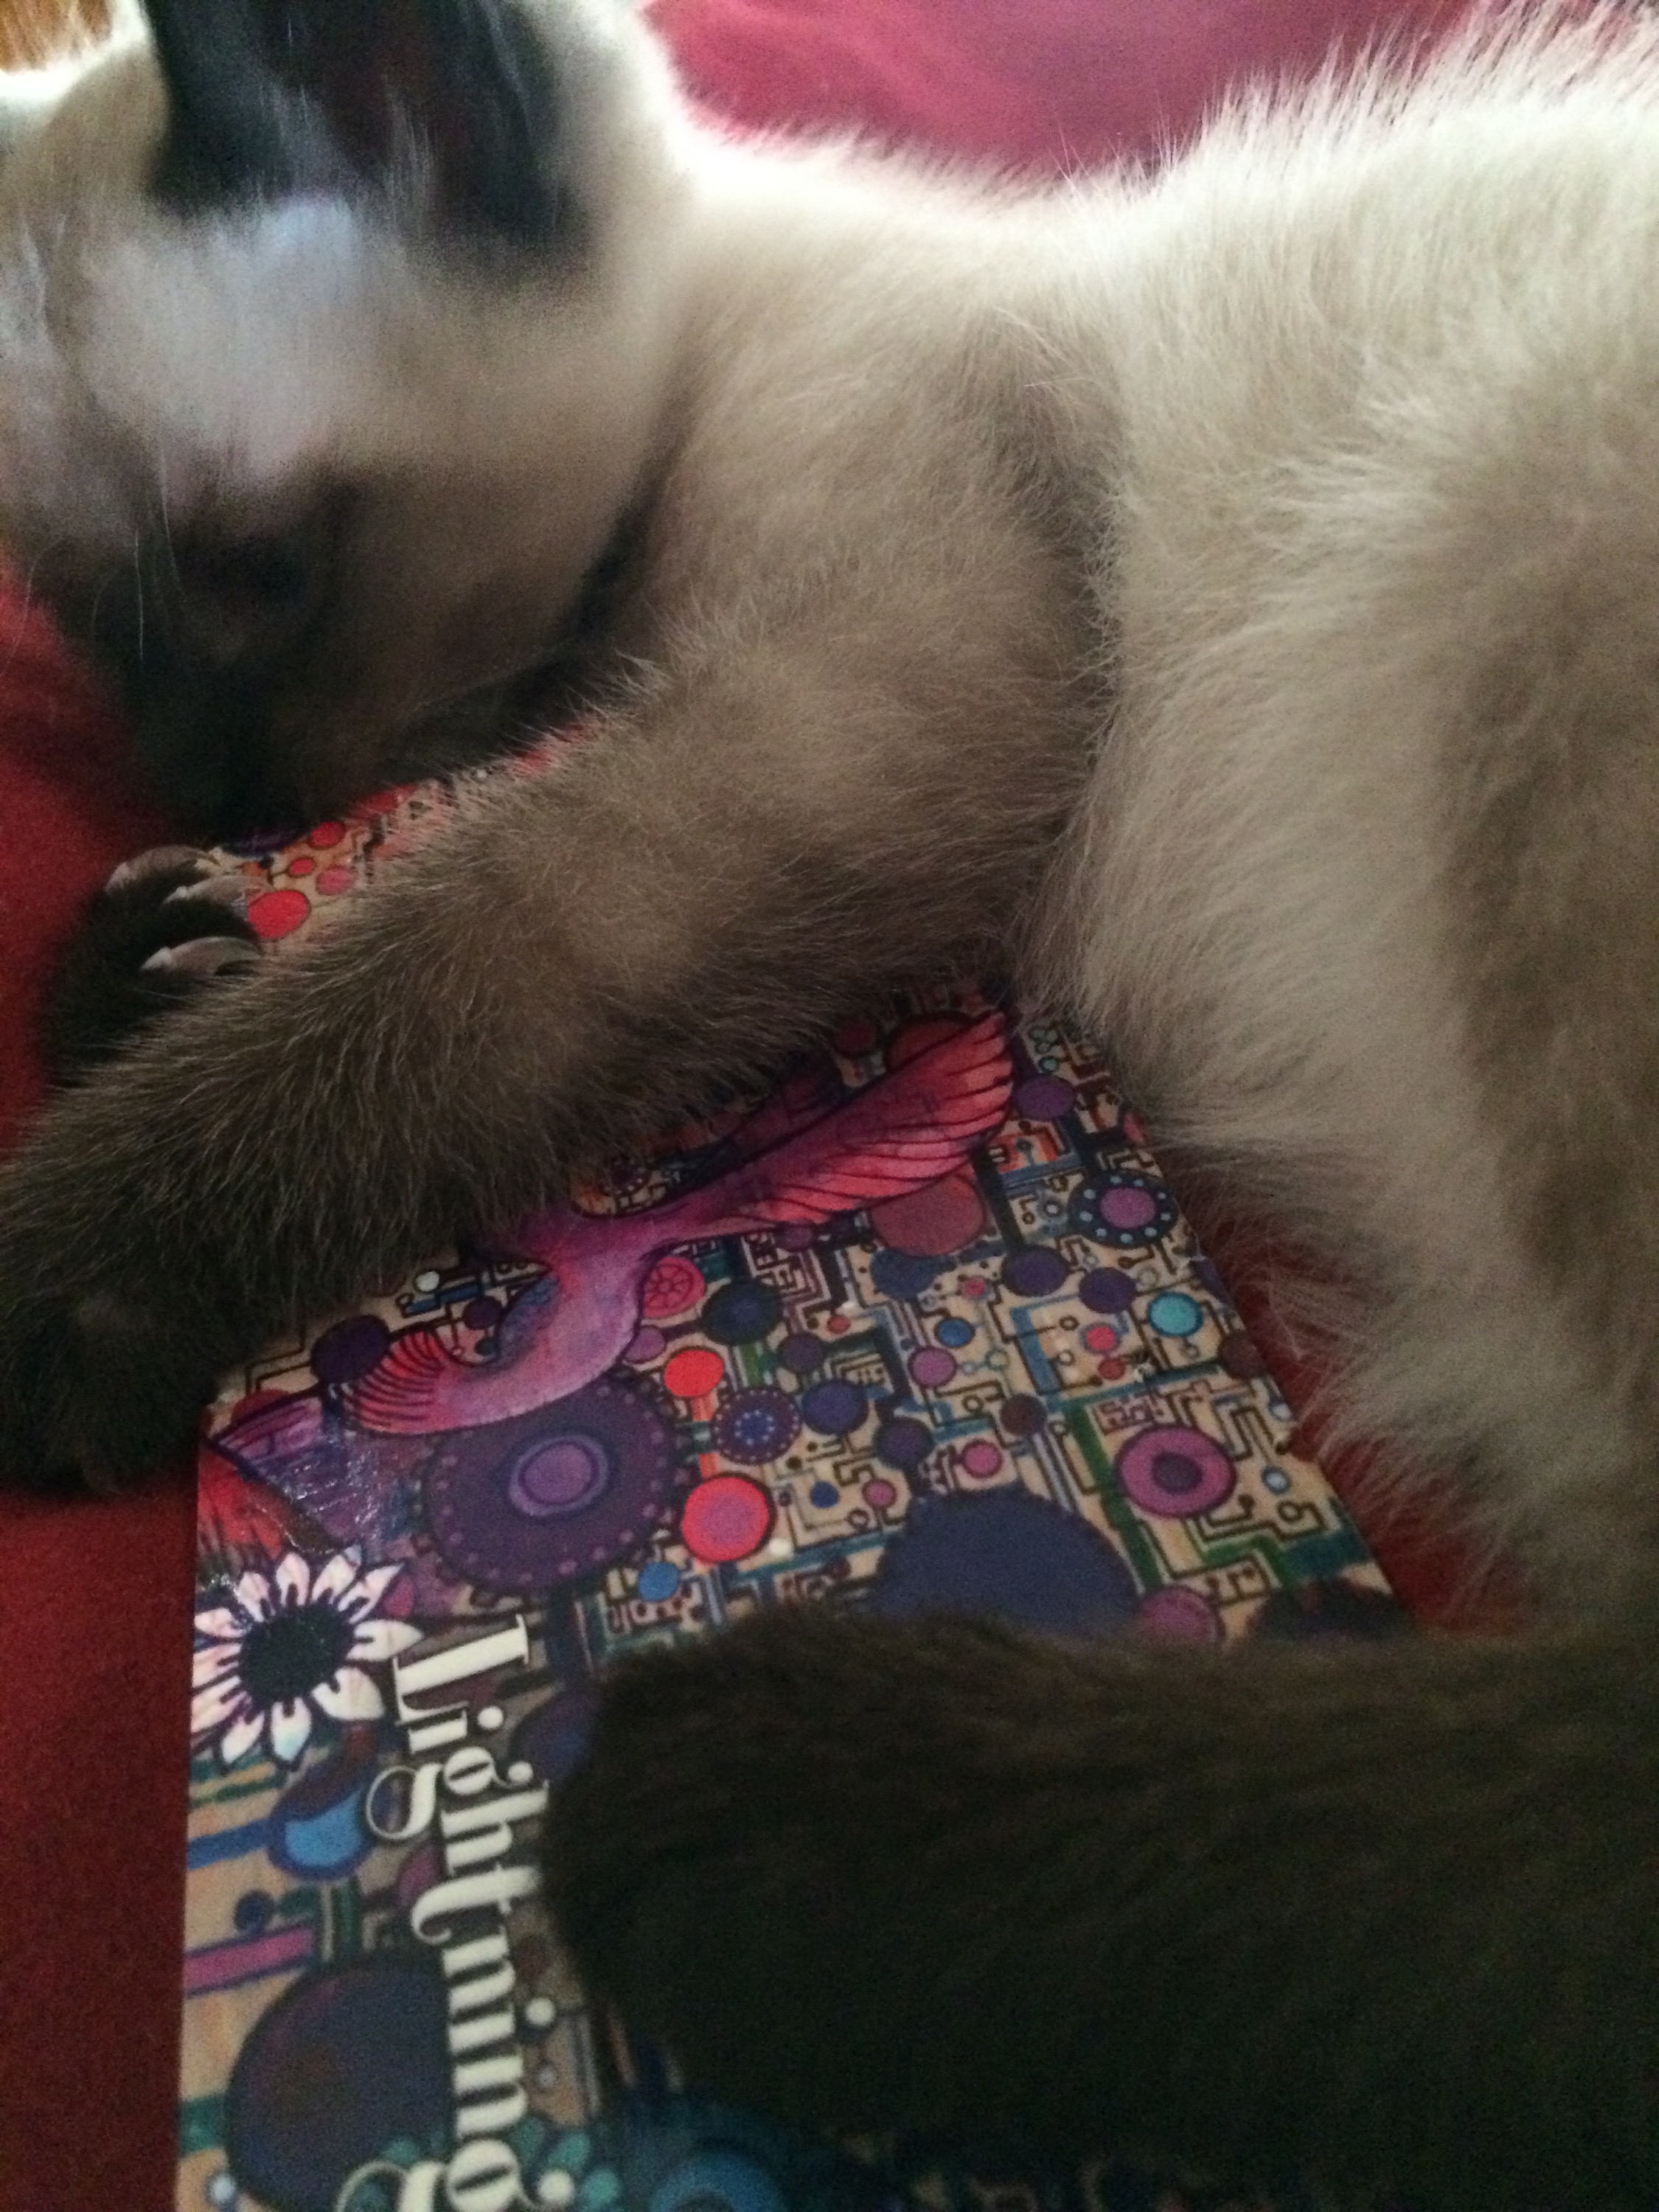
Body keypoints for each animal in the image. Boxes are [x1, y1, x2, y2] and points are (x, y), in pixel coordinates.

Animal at [1, 0, 1658, 2201]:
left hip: (1510, 593)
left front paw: (56, 1266)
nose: (215, 790)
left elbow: (444, 965)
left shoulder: (854, 706)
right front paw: (162, 949)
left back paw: (755, 1825)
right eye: (93, 631)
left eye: (258, 571)